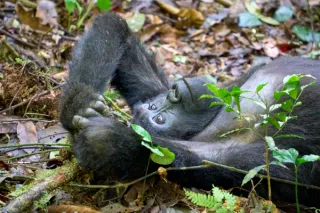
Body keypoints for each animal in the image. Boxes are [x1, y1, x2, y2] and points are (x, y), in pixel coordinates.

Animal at [60, 12, 320, 206]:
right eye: (159, 117)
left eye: (159, 104)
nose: (176, 93)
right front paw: (109, 142)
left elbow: (116, 31)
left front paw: (78, 102)